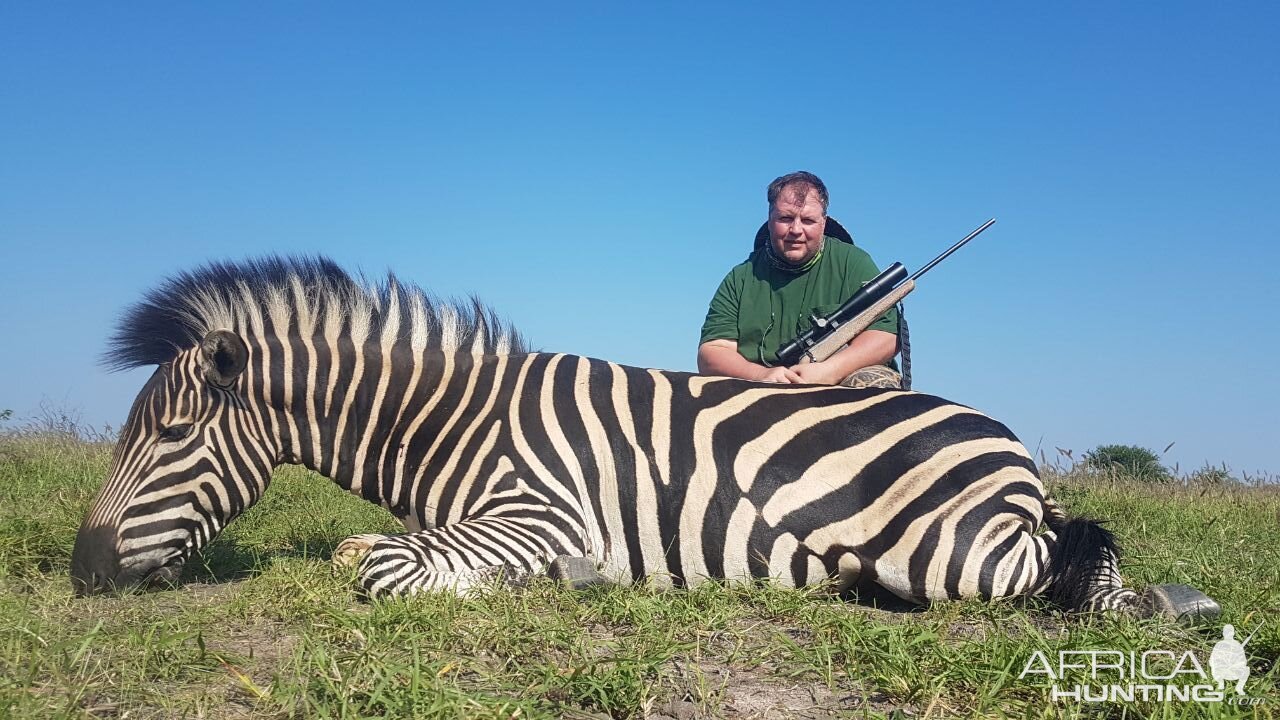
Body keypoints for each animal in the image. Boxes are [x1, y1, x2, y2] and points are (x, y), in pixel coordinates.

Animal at [72, 253, 1218, 617]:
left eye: (170, 434)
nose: (80, 570)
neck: (453, 425)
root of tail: (1006, 443)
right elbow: (361, 550)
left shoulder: (537, 516)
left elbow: (387, 569)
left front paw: (559, 581)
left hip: (957, 554)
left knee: (1081, 559)